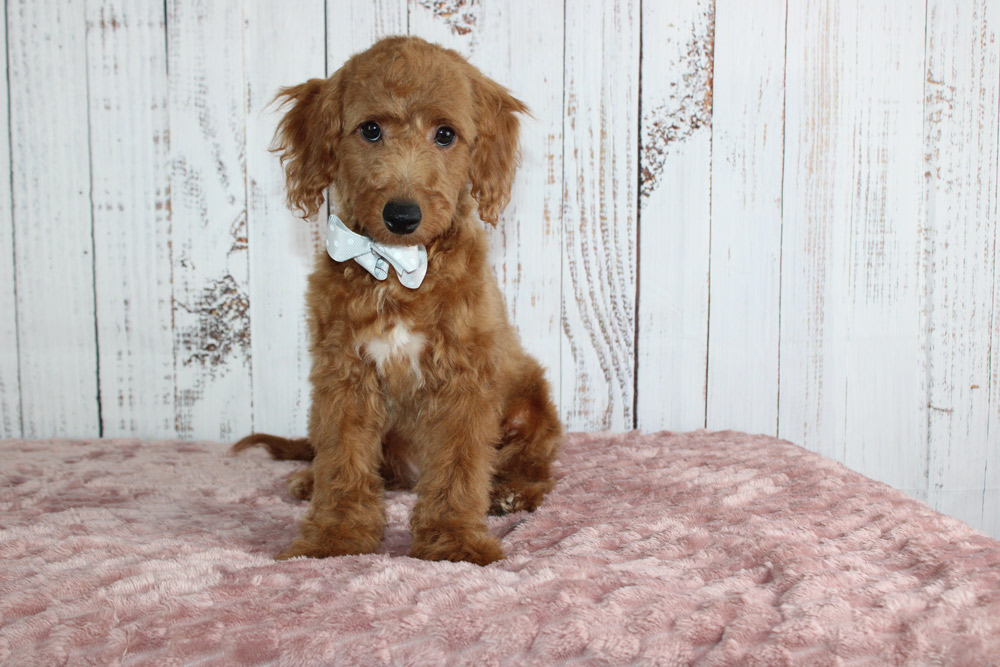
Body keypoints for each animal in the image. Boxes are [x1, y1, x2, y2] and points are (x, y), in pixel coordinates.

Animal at [233, 36, 562, 566]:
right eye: (370, 130)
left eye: (445, 135)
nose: (403, 215)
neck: (394, 269)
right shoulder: (343, 374)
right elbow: (343, 461)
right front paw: (334, 538)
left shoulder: (464, 379)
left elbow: (458, 467)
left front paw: (454, 541)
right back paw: (308, 479)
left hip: (532, 407)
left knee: (533, 462)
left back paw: (512, 492)